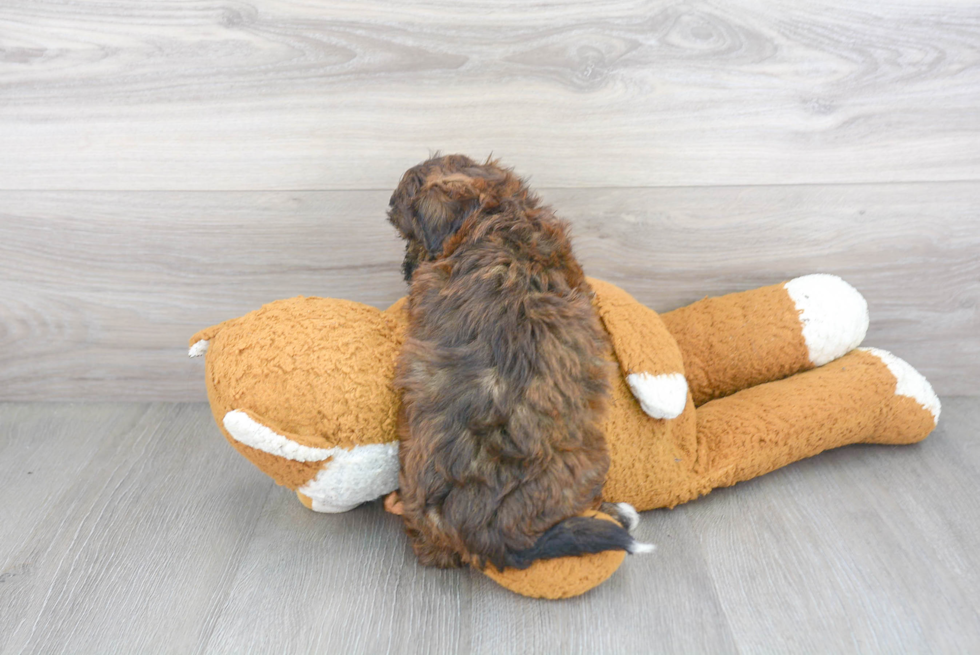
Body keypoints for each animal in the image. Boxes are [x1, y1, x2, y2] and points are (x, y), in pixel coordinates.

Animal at [384, 156, 652, 572]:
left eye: (408, 236)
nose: (406, 268)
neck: (498, 219)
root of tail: (488, 534)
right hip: (590, 459)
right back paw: (618, 513)